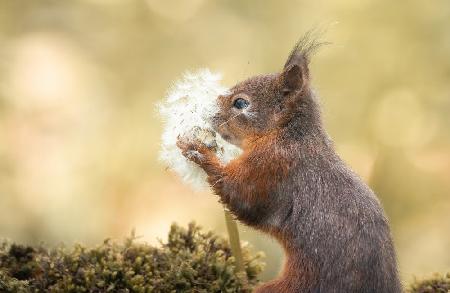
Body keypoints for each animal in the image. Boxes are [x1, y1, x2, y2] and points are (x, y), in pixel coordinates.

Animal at [176, 35, 400, 290]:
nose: (207, 111)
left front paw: (197, 150)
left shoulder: (272, 167)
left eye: (241, 103)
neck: (288, 135)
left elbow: (242, 196)